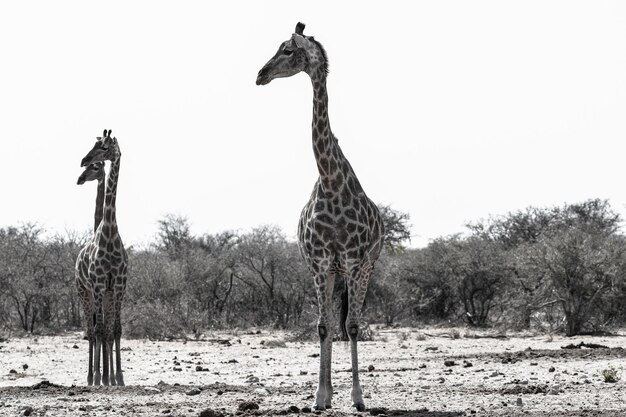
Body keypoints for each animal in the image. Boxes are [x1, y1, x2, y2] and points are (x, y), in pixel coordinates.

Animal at [255, 22, 382, 410]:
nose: (260, 74)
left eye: (286, 50)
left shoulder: (354, 262)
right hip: (329, 273)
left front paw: (358, 397)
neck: (331, 181)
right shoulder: (319, 263)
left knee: (349, 323)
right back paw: (326, 394)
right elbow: (323, 327)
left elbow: (351, 327)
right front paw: (319, 397)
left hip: (363, 268)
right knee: (328, 326)